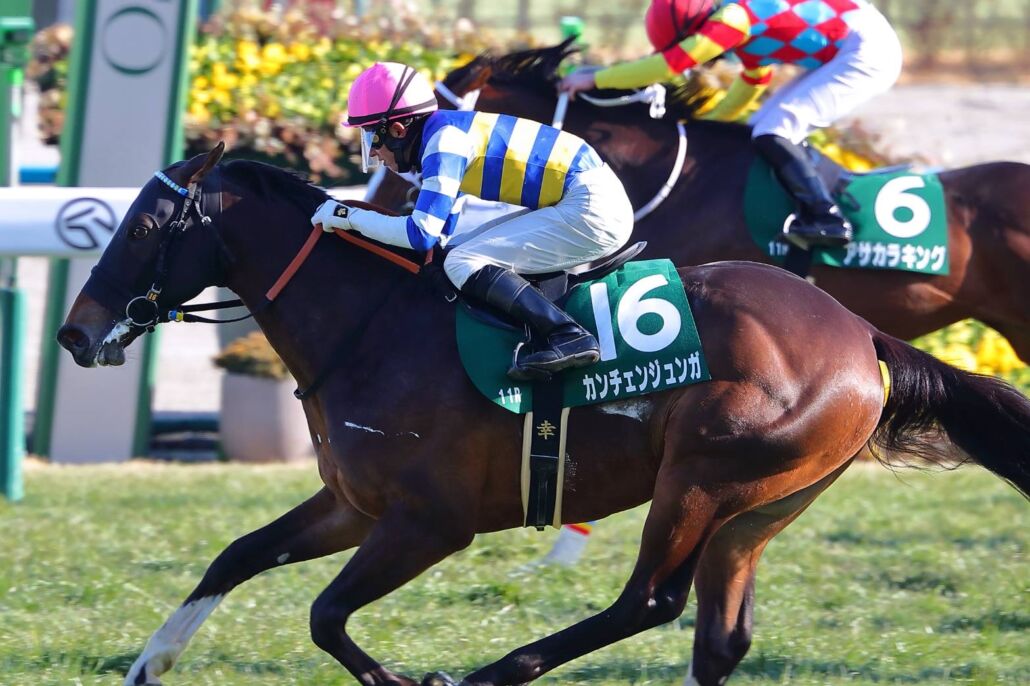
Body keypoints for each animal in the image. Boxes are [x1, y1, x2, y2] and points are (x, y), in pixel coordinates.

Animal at [56, 145, 1030, 686]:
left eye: (143, 229)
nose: (74, 333)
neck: (371, 325)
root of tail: (858, 331)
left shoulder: (430, 523)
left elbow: (325, 617)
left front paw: (412, 681)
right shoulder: (354, 506)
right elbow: (238, 555)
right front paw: (149, 664)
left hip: (704, 478)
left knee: (649, 600)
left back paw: (492, 674)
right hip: (761, 506)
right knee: (719, 637)